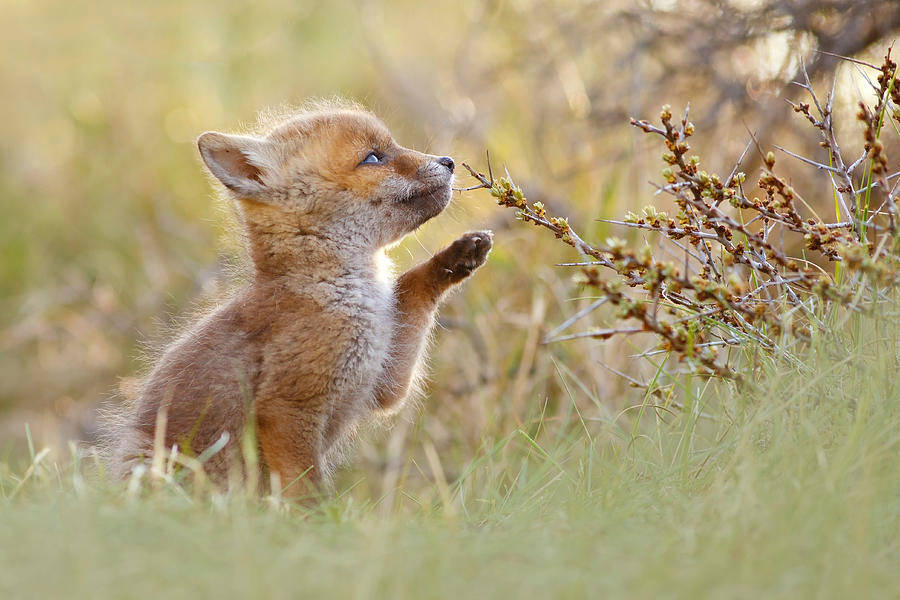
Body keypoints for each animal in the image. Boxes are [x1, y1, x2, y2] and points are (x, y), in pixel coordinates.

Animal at [112, 103, 496, 494]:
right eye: (373, 157)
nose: (449, 161)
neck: (344, 296)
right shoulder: (286, 407)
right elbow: (308, 492)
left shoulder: (381, 378)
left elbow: (413, 284)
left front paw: (456, 257)